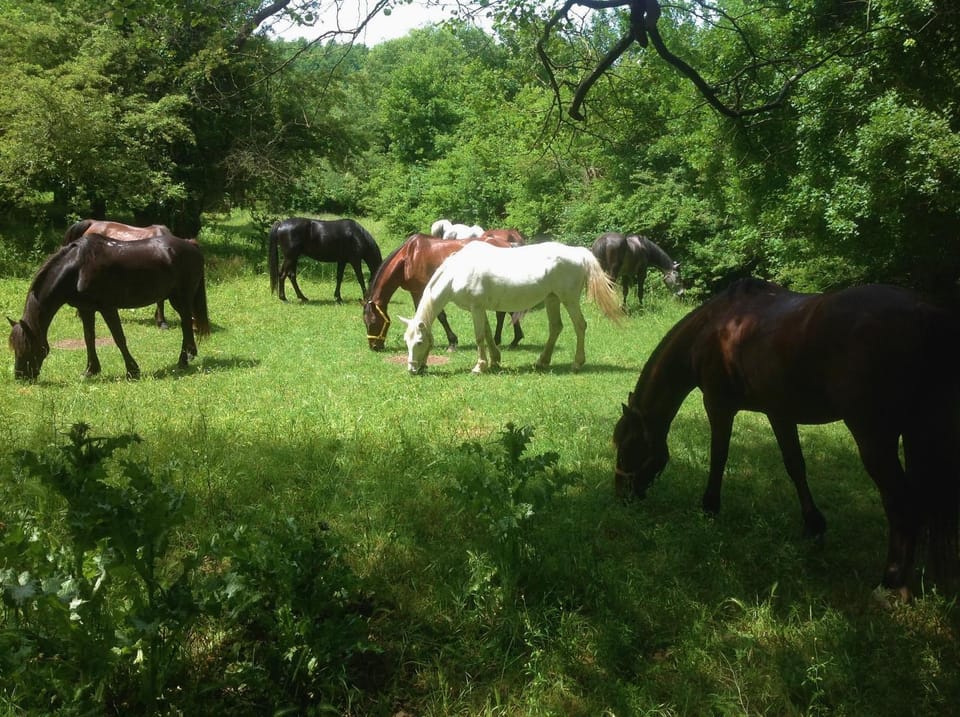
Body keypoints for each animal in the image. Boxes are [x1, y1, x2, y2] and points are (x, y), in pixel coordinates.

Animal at [9, 233, 210, 380]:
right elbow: (89, 338)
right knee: (187, 323)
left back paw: (183, 359)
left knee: (186, 323)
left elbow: (119, 338)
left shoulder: (108, 308)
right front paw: (90, 370)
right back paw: (189, 356)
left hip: (180, 298)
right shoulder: (86, 309)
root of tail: (190, 244)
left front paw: (132, 371)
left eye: (27, 347)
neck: (78, 268)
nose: (20, 376)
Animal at [364, 233, 525, 351]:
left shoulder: (424, 289)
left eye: (373, 321)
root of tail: (508, 244)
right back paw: (510, 340)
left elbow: (440, 316)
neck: (408, 258)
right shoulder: (415, 291)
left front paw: (452, 343)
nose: (374, 347)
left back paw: (505, 340)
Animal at [402, 241, 622, 374]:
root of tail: (578, 253)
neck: (456, 273)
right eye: (406, 342)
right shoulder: (480, 308)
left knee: (580, 326)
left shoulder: (476, 308)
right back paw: (542, 361)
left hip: (569, 300)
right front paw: (495, 360)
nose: (412, 370)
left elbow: (480, 337)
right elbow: (488, 334)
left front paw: (479, 366)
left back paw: (577, 363)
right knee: (556, 327)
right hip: (552, 299)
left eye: (419, 343)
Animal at [612, 277, 960, 596]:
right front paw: (813, 525)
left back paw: (891, 583)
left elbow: (718, 458)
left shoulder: (718, 405)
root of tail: (922, 310)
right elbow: (795, 466)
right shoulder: (779, 413)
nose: (621, 496)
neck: (711, 329)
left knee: (901, 501)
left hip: (874, 438)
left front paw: (709, 508)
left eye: (628, 445)